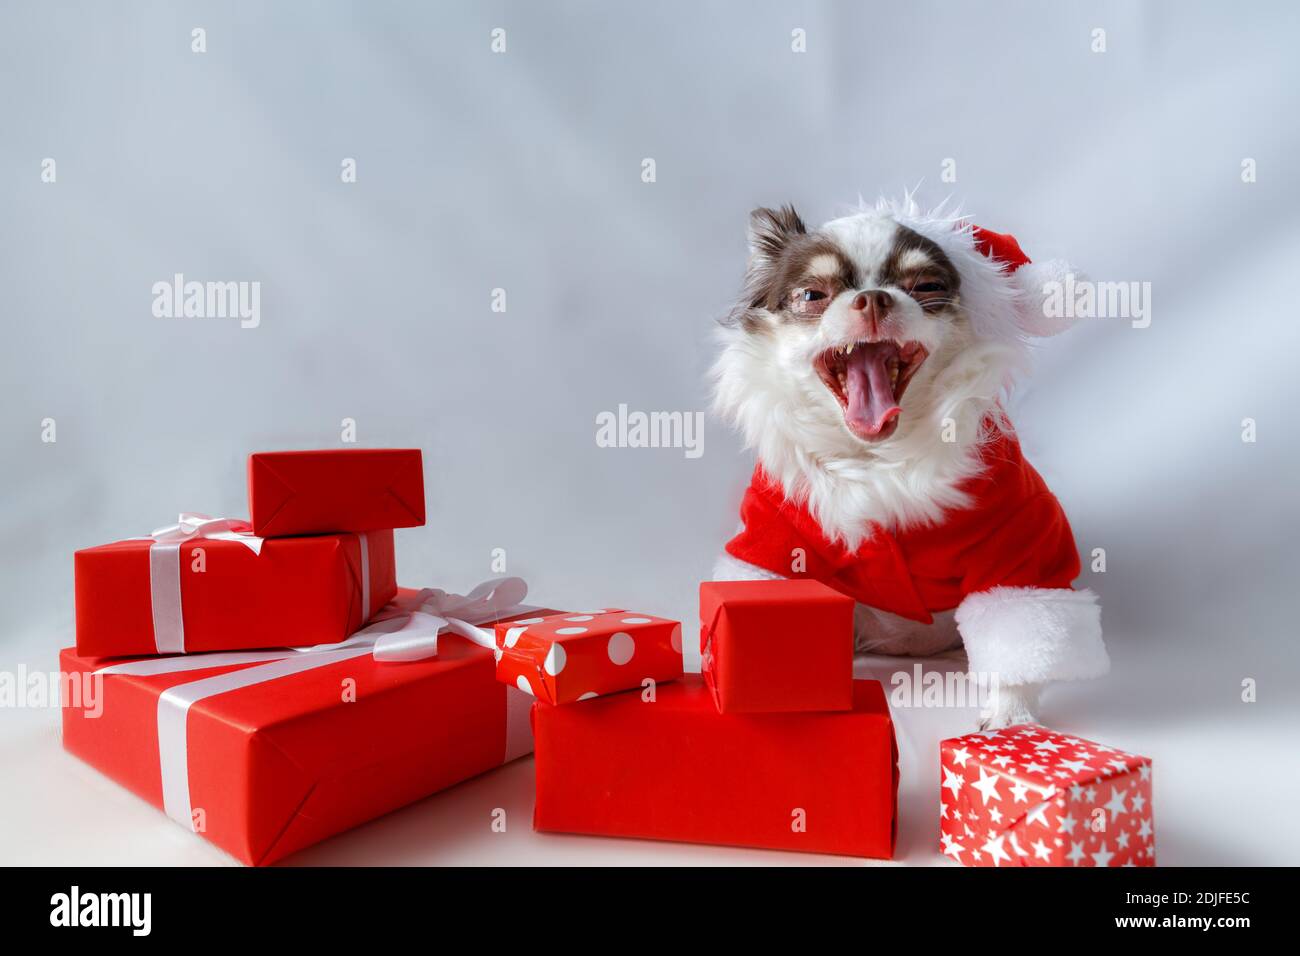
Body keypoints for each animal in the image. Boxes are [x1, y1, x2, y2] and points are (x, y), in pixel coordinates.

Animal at [712, 197, 1107, 728]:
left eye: (927, 288)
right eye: (812, 294)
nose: (873, 298)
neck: (875, 458)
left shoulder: (1018, 539)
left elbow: (1020, 630)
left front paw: (1011, 715)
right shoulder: (774, 531)